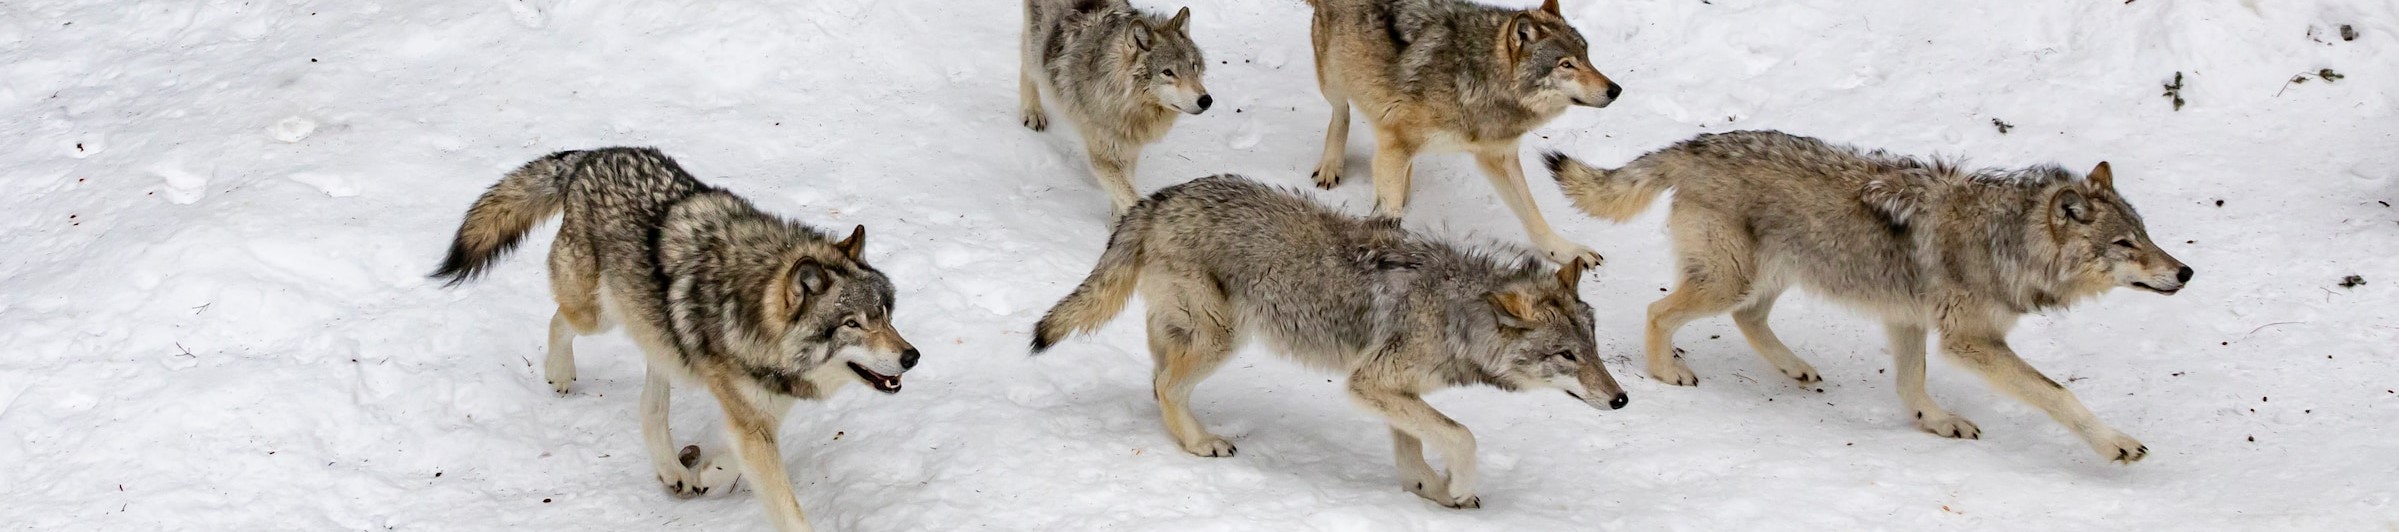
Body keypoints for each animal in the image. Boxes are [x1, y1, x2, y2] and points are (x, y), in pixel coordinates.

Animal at [427, 147, 921, 529]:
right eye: (852, 324)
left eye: (884, 314)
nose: (912, 356)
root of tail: (590, 157)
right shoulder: (752, 421)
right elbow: (787, 508)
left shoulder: (761, 412)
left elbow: (731, 457)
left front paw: (707, 474)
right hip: (596, 315)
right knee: (559, 320)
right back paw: (560, 373)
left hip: (657, 337)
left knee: (650, 406)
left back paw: (672, 470)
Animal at [1021, 0, 1218, 215]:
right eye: (1168, 72)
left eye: (1193, 66)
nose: (1206, 100)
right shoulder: (1105, 158)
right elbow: (1130, 196)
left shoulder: (1129, 151)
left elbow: (1123, 194)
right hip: (1036, 47)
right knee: (1025, 61)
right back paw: (1032, 112)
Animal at [1031, 174, 1631, 508]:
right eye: (1566, 355)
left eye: (1595, 348)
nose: (1622, 399)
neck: (1455, 313)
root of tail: (1160, 197)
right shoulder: (1370, 383)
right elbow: (1462, 436)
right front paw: (1457, 488)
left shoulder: (1392, 391)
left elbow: (1414, 448)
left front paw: (1432, 492)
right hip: (1223, 338)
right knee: (1165, 385)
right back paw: (1202, 443)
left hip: (1195, 332)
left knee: (1156, 378)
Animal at [1305, 0, 1621, 266]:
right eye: (1566, 65)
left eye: (1586, 57)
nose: (1615, 90)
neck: (1474, 79)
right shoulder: (1396, 142)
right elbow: (1390, 209)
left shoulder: (1498, 157)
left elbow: (1533, 215)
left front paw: (1566, 252)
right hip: (1333, 78)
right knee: (1341, 113)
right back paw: (1331, 166)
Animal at [1544, 130, 2197, 462]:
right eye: (2125, 244)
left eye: (2147, 235)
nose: (2187, 272)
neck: (2006, 242)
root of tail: (1695, 144)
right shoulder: (1970, 342)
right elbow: (2060, 395)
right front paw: (2115, 444)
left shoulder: (1907, 319)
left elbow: (1912, 386)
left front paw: (1935, 422)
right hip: (1731, 278)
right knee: (1659, 311)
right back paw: (1667, 372)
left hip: (1770, 277)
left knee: (1749, 319)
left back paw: (1796, 368)